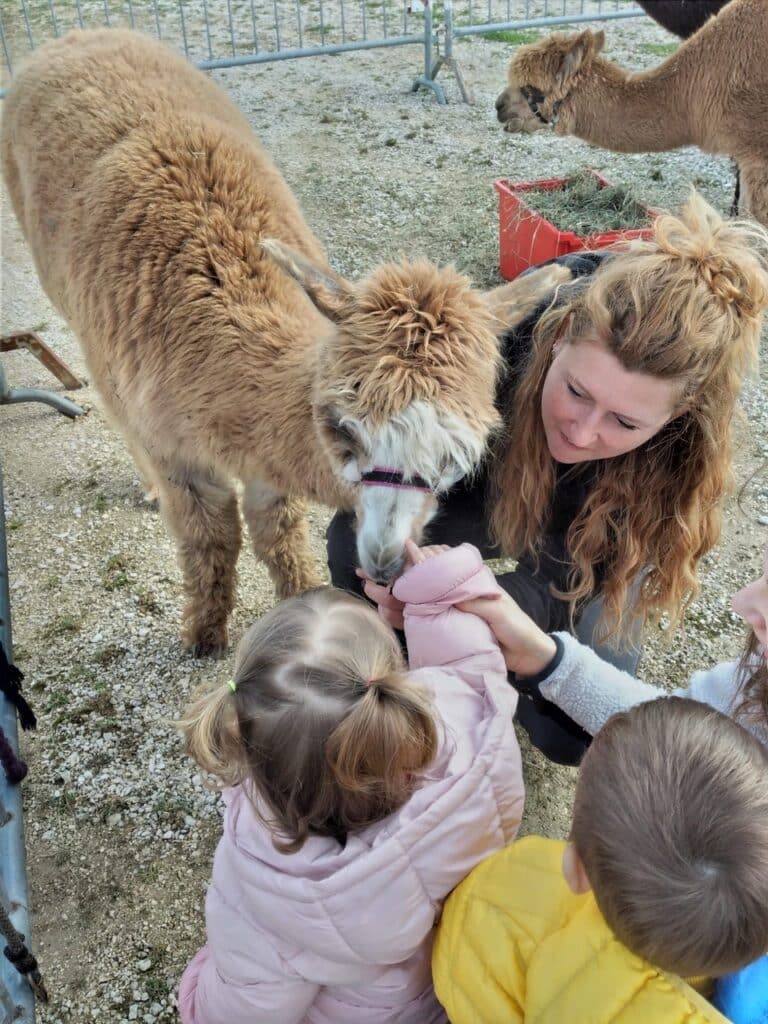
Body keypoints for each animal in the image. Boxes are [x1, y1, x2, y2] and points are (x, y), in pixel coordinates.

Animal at [3, 32, 569, 659]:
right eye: (342, 427)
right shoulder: (178, 452)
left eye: (459, 456)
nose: (385, 562)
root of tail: (81, 37)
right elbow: (210, 539)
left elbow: (277, 532)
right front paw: (205, 635)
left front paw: (302, 606)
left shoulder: (264, 464)